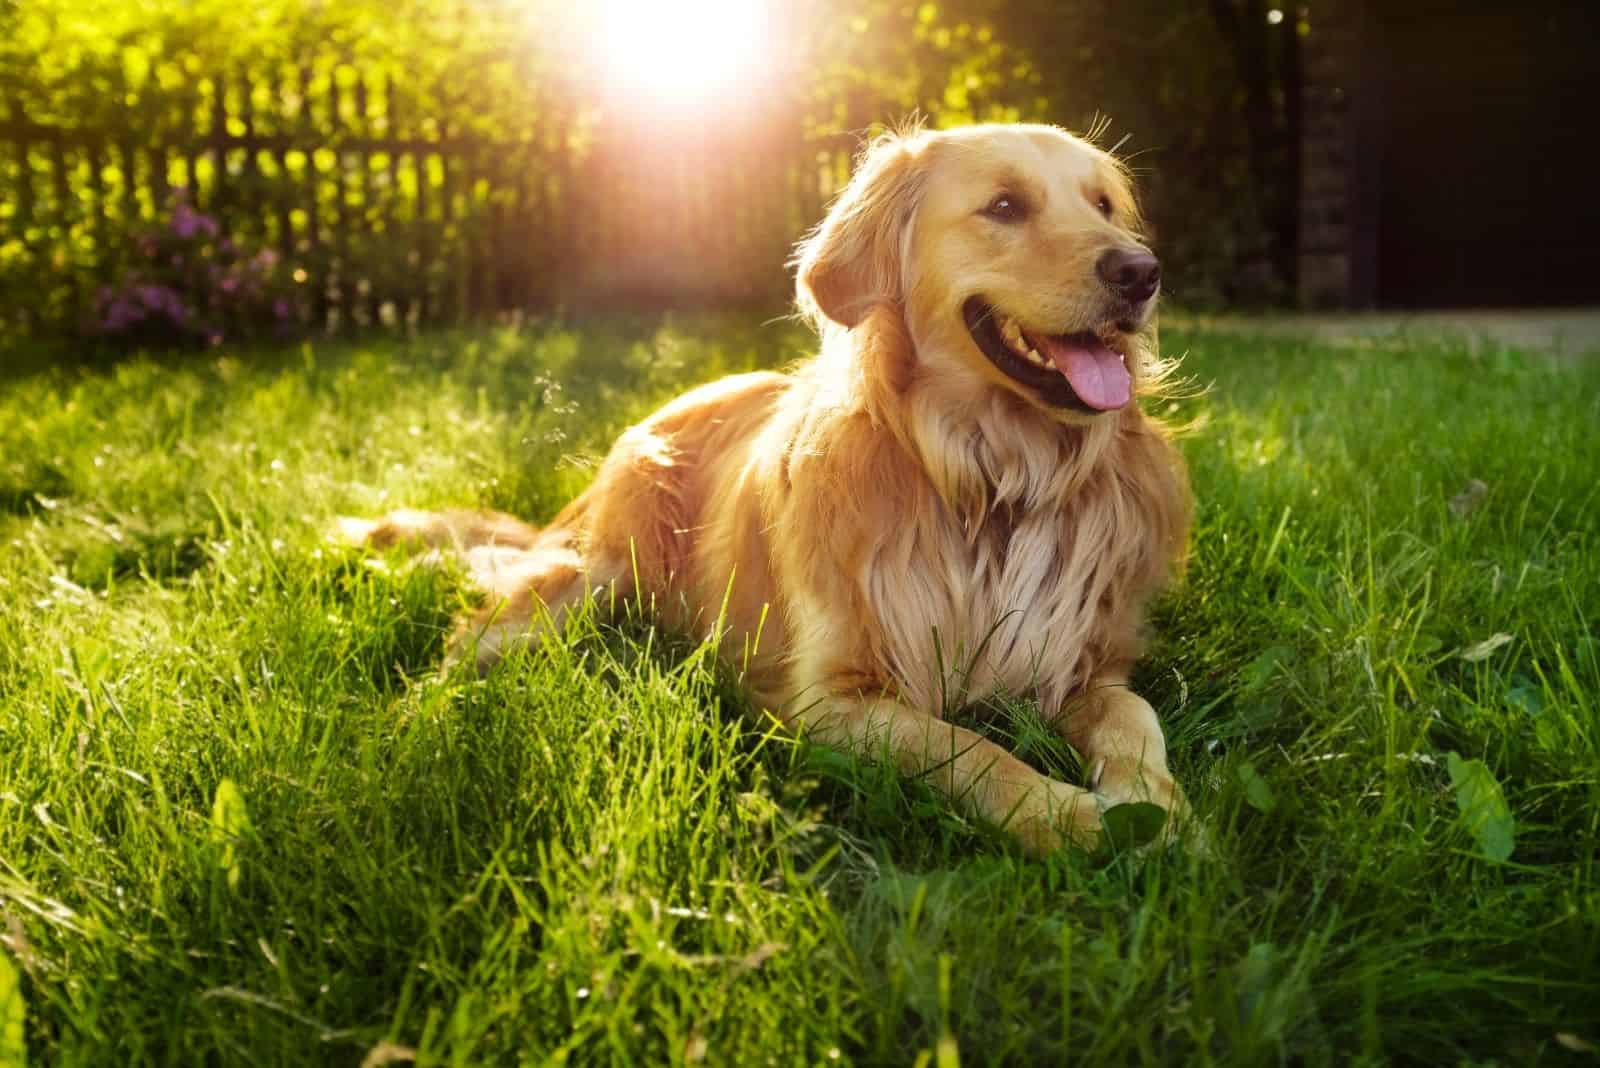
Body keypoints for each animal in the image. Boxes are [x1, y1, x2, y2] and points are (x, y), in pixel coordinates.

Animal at [340, 125, 1190, 856]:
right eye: (1005, 206)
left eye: (1103, 205)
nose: (1142, 273)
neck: (991, 481)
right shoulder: (833, 698)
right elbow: (969, 748)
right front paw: (1069, 817)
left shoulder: (1083, 662)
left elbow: (1134, 715)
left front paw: (1156, 805)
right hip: (589, 577)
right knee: (460, 650)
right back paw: (410, 730)